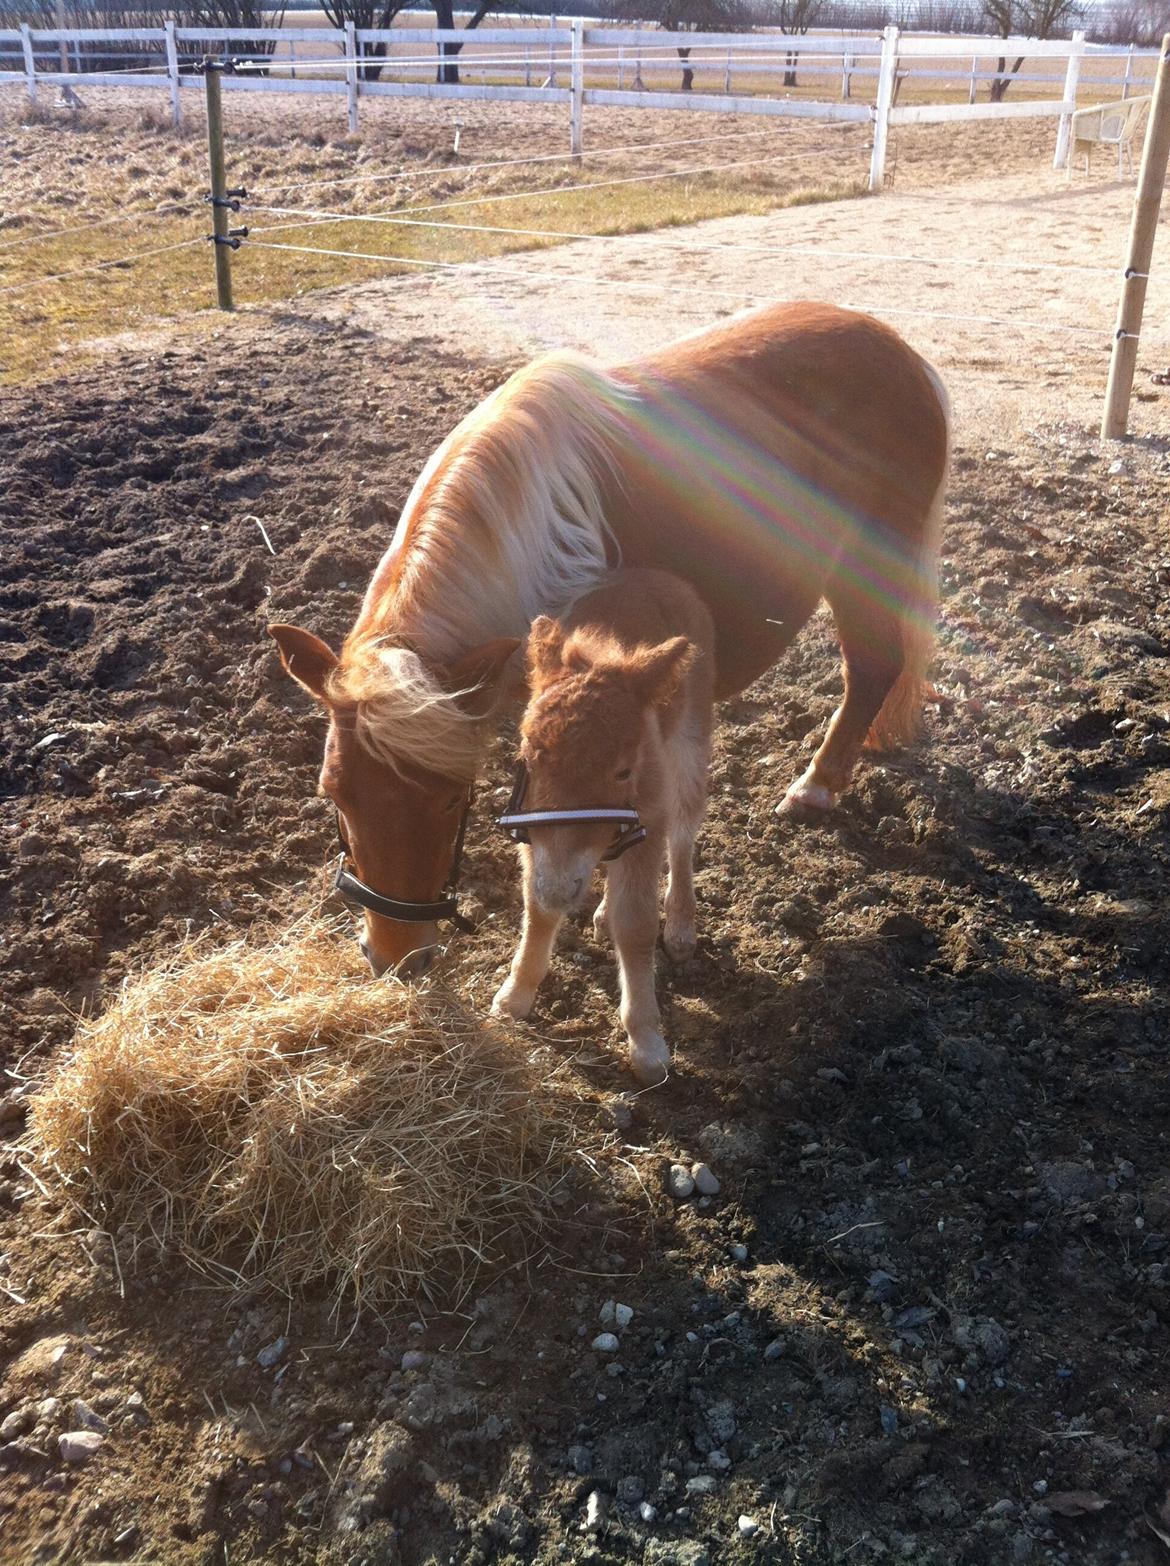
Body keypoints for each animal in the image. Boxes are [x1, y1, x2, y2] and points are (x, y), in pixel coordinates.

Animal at [272, 299, 952, 970]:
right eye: (335, 796)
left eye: (449, 799)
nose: (396, 955)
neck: (530, 540)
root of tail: (900, 352)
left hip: (865, 562)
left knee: (871, 668)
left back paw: (815, 786)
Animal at [491, 566, 714, 1089]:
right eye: (528, 757)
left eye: (622, 770)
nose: (562, 888)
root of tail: (659, 574)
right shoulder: (534, 833)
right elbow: (537, 906)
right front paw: (515, 995)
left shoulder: (647, 821)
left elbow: (636, 924)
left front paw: (647, 1045)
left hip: (691, 746)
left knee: (684, 832)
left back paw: (680, 926)